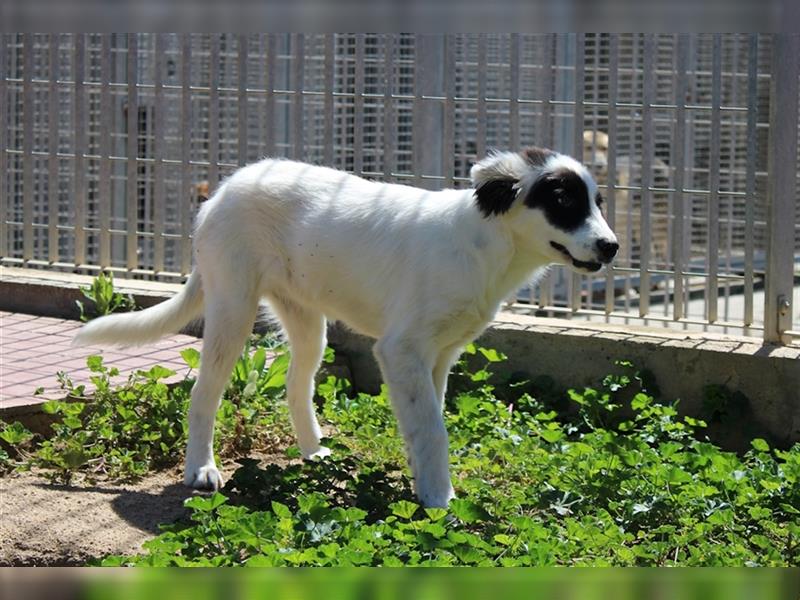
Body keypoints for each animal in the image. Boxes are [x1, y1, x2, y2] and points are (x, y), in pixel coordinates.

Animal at [75, 146, 620, 506]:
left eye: (596, 202)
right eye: (563, 200)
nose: (612, 246)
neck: (485, 245)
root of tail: (223, 190)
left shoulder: (438, 356)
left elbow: (424, 424)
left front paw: (423, 484)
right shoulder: (401, 350)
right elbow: (434, 429)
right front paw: (440, 501)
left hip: (305, 321)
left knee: (295, 386)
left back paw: (313, 452)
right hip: (232, 307)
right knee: (203, 393)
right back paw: (202, 469)